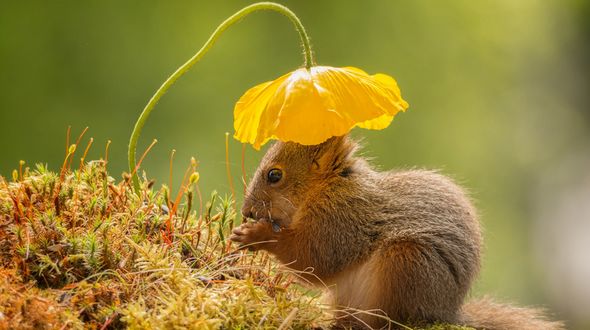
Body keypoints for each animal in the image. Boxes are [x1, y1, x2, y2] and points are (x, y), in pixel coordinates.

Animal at [230, 135, 564, 328]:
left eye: (275, 175)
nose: (247, 211)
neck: (326, 188)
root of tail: (447, 311)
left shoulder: (344, 219)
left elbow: (315, 258)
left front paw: (256, 235)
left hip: (406, 263)